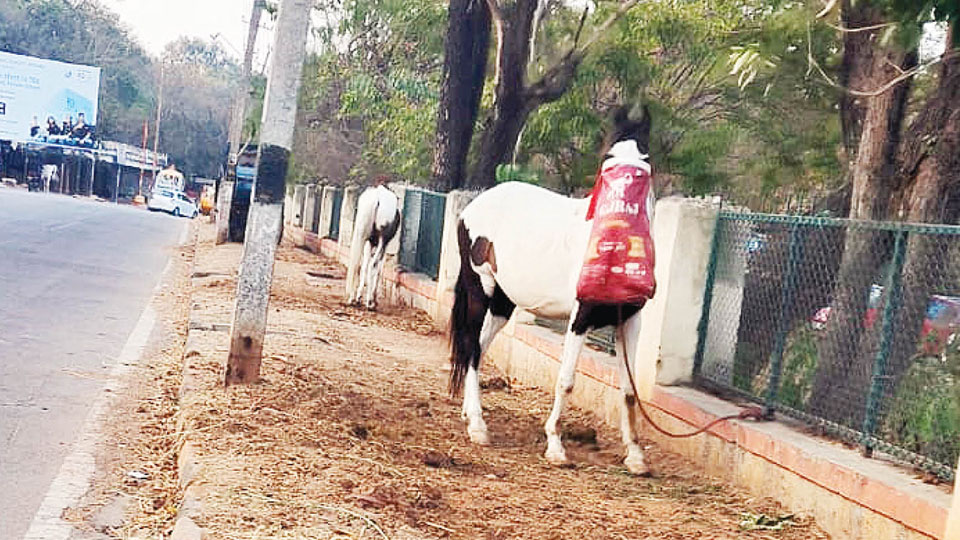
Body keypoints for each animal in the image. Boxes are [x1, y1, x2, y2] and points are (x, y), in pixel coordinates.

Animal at [449, 105, 655, 475]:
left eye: (645, 158)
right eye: (608, 159)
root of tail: (472, 207)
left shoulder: (630, 321)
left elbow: (629, 391)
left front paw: (635, 456)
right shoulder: (580, 317)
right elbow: (566, 380)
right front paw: (556, 446)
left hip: (503, 303)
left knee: (479, 347)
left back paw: (469, 413)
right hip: (480, 290)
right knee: (471, 346)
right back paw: (478, 427)